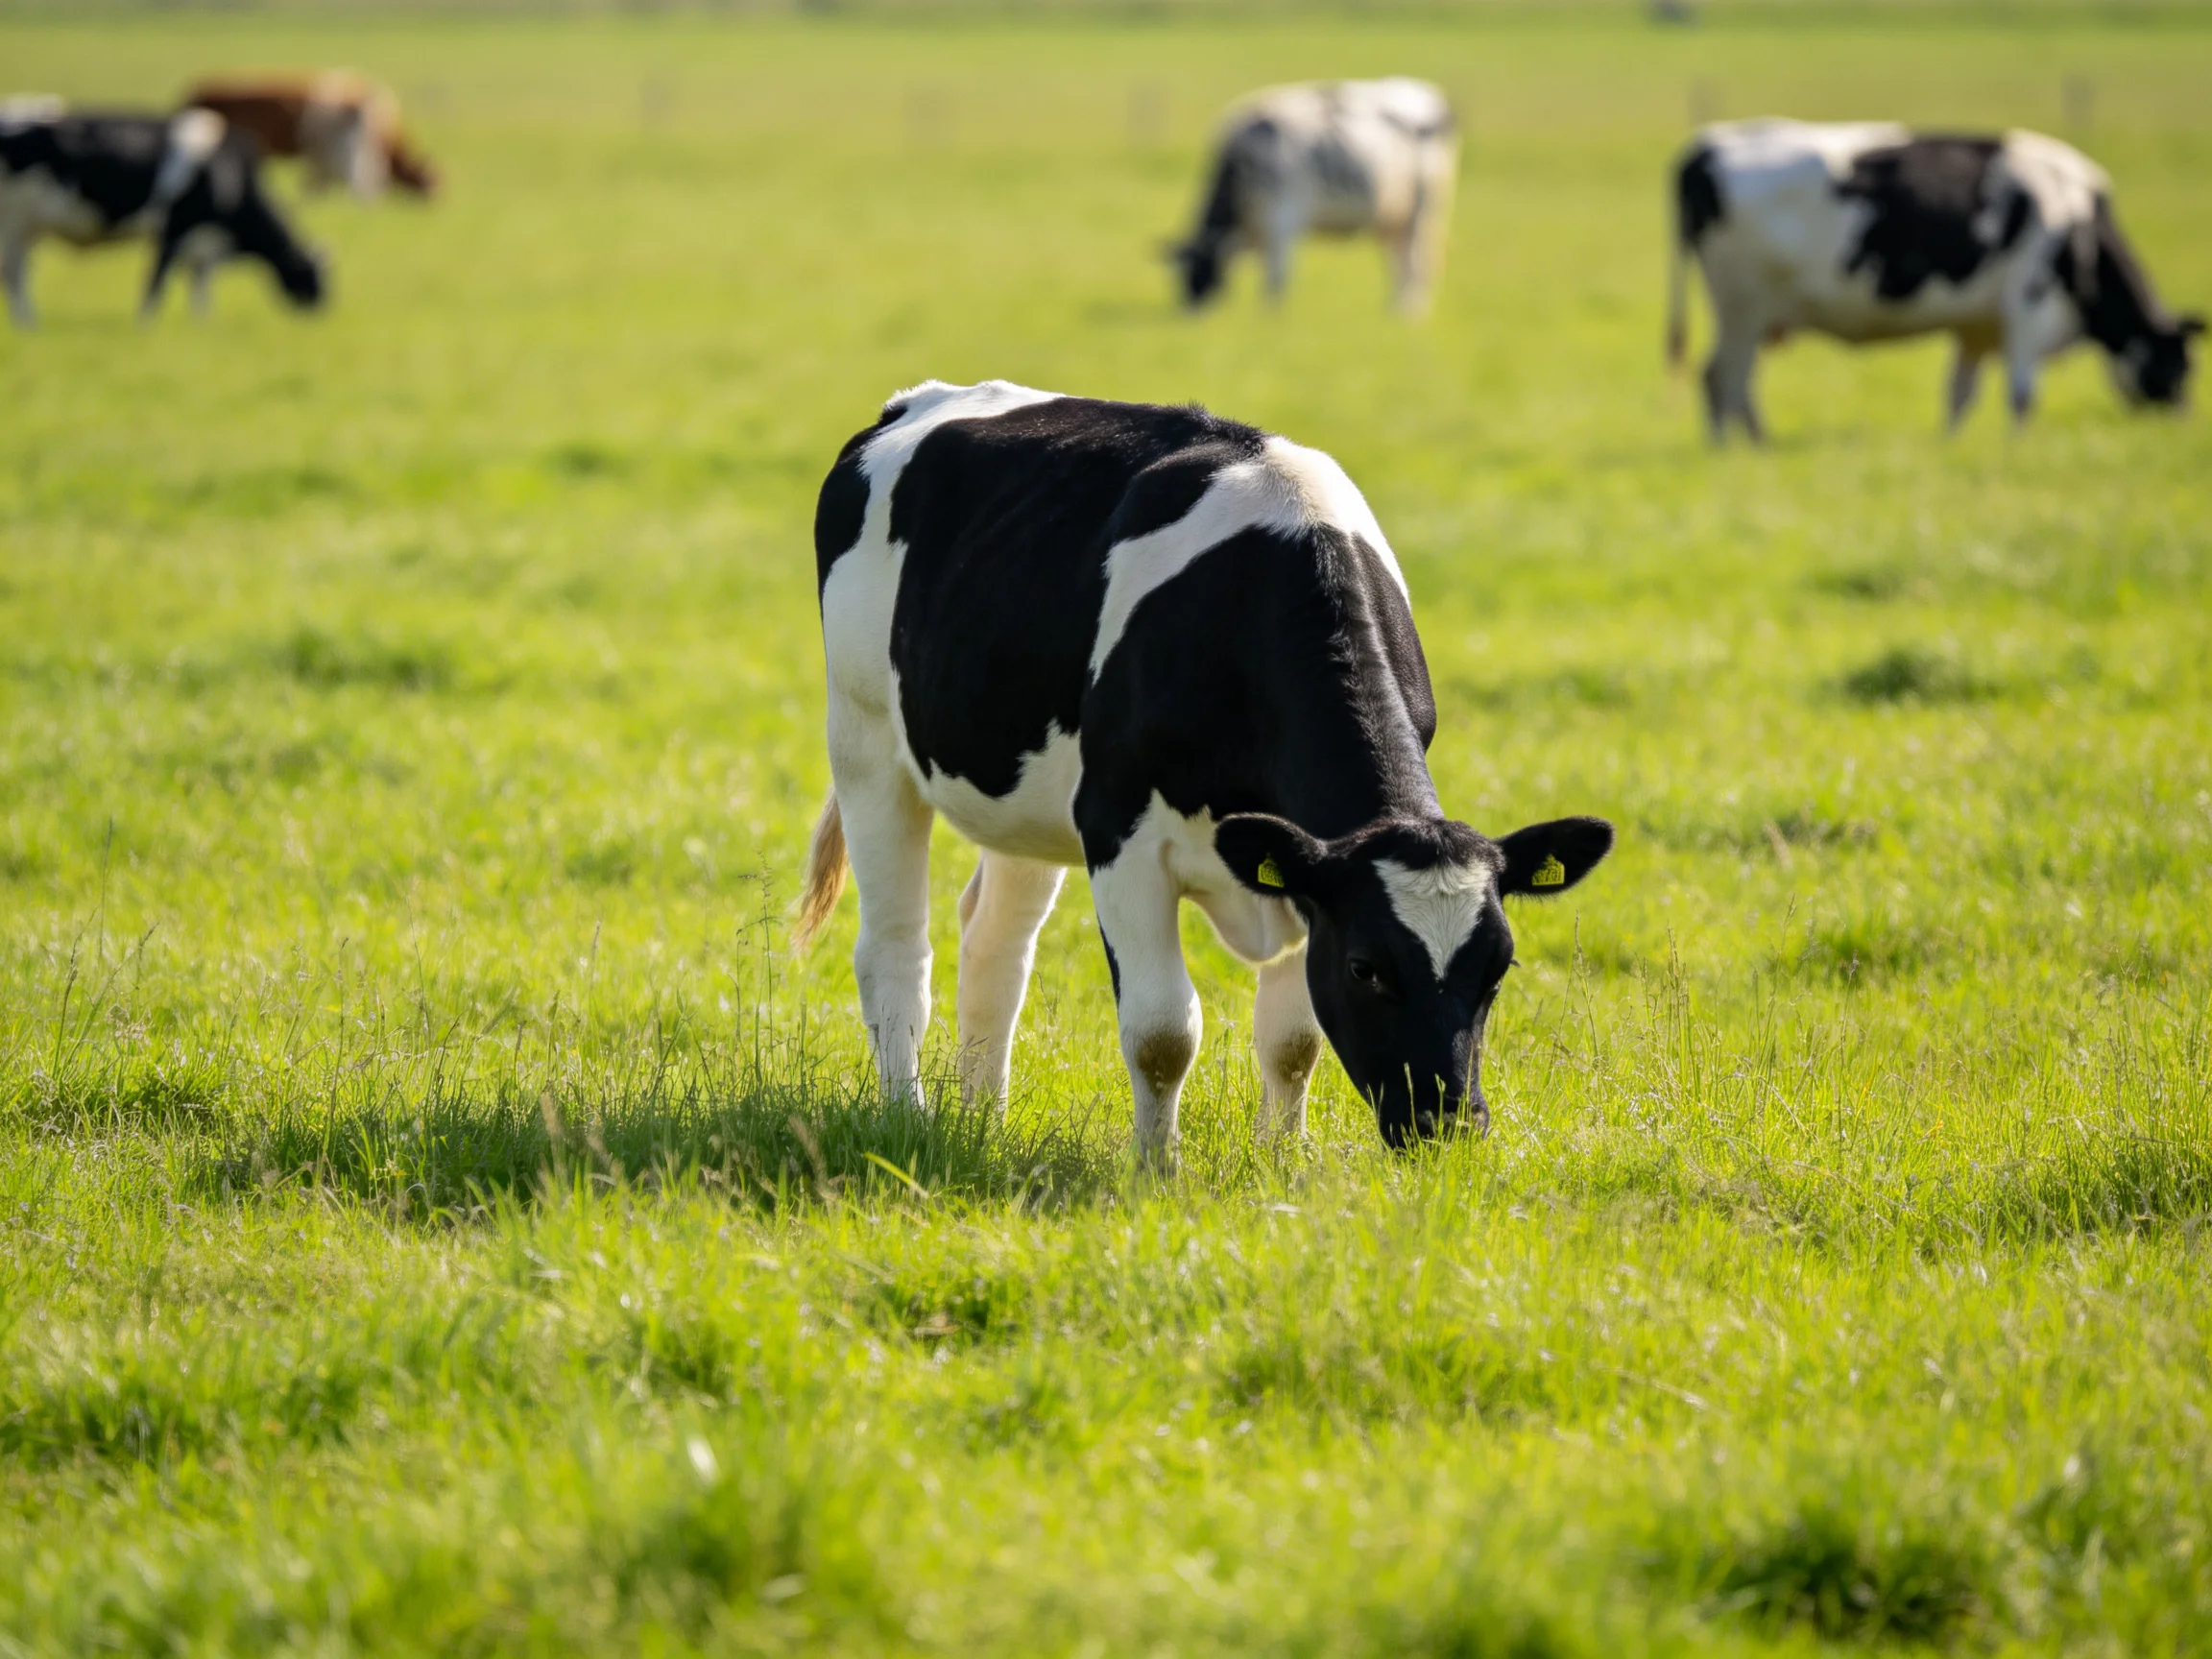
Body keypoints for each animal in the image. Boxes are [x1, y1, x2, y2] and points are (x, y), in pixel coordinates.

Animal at [1, 105, 325, 327]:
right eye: (314, 276)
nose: (322, 312)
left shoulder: (205, 242)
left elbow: (200, 286)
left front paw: (203, 324)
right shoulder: (175, 226)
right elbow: (157, 279)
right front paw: (145, 324)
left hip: (29, 228)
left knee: (19, 272)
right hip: (15, 221)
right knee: (14, 272)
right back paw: (27, 323)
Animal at [794, 381, 1613, 1168]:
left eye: (1498, 970)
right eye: (1365, 969)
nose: (1447, 1125)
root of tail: (912, 402)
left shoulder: (1301, 868)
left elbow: (1293, 1040)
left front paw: (1281, 1163)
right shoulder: (1119, 831)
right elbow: (1162, 1032)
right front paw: (1157, 1170)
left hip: (1019, 796)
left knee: (995, 942)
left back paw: (980, 1125)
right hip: (864, 737)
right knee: (895, 950)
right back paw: (909, 1119)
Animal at [1170, 78, 1457, 316]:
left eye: (1208, 267)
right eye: (1181, 275)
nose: (1191, 312)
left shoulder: (1282, 218)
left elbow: (1276, 276)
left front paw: (1270, 319)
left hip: (1424, 211)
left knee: (1417, 264)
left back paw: (1410, 315)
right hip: (1393, 218)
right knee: (1398, 263)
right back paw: (1393, 311)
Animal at [1668, 119, 2202, 440]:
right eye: (2178, 367)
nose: (2180, 420)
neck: (2078, 220)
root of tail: (1704, 147)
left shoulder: (1976, 325)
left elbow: (1960, 396)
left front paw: (1951, 445)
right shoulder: (2027, 299)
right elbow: (2022, 392)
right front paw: (2018, 447)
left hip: (1759, 312)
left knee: (1738, 383)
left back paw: (1760, 445)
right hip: (1742, 301)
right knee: (1721, 378)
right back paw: (1729, 451)